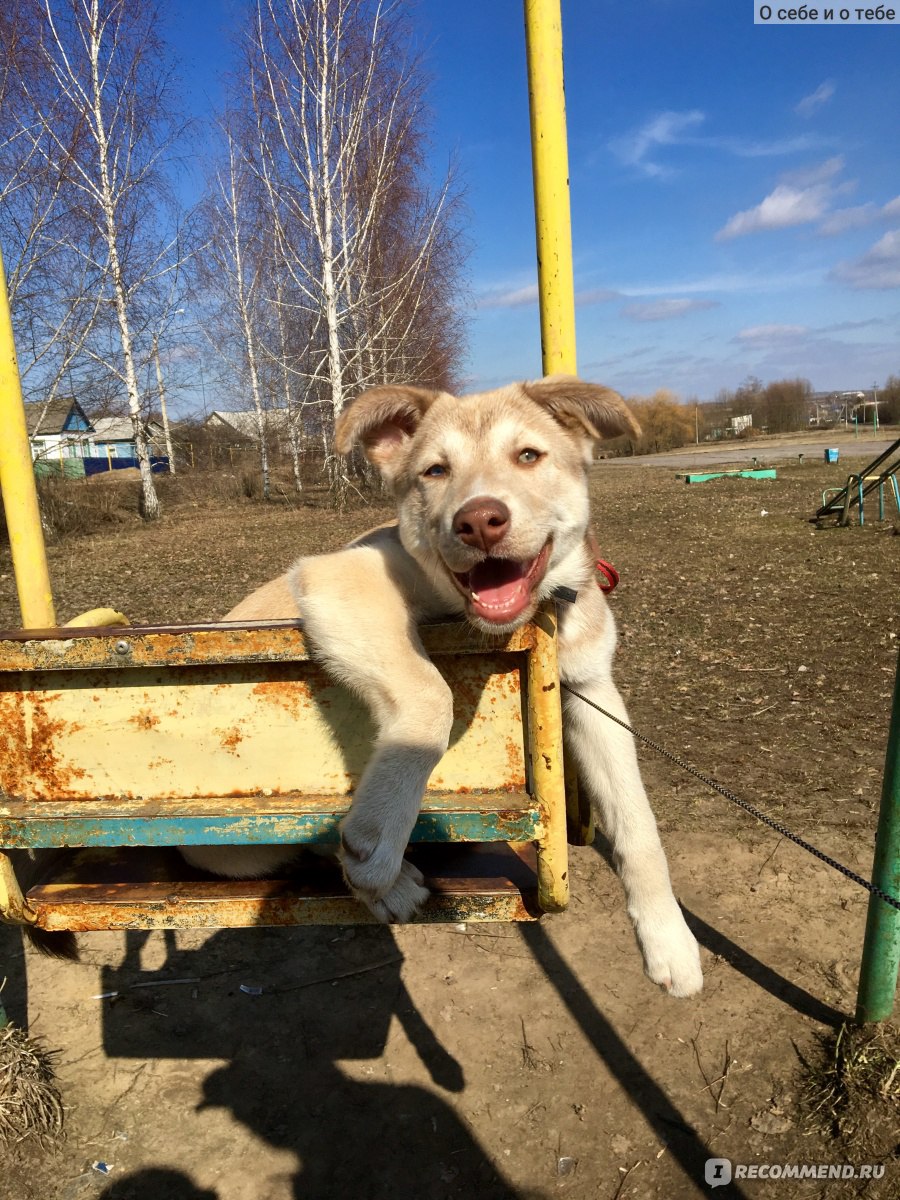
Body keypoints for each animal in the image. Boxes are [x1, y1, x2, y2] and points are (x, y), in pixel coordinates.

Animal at [180, 379, 705, 998]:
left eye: (528, 456)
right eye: (434, 470)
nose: (479, 521)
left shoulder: (593, 692)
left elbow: (639, 823)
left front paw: (669, 942)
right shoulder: (342, 578)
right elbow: (432, 695)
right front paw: (381, 829)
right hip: (232, 843)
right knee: (295, 837)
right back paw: (387, 876)